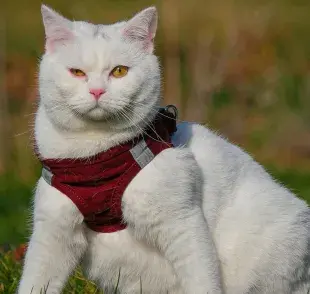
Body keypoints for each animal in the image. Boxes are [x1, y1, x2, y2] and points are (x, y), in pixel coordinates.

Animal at [18, 4, 310, 294]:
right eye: (77, 72)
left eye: (120, 71)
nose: (97, 91)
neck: (94, 156)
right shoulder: (52, 231)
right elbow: (35, 281)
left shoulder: (182, 223)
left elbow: (202, 280)